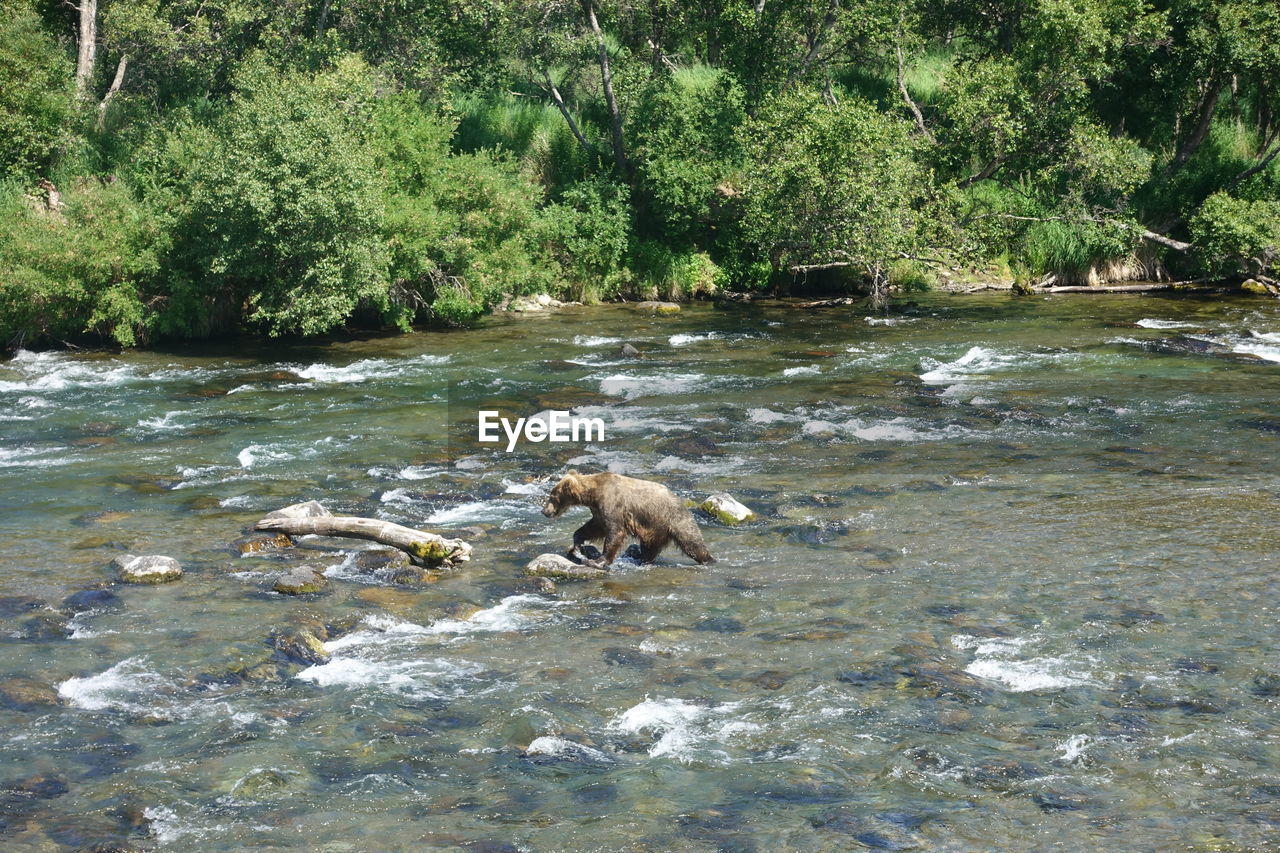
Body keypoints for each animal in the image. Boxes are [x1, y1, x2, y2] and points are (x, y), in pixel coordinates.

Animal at [540, 468, 716, 568]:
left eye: (552, 497)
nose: (544, 511)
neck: (593, 494)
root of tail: (681, 502)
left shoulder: (612, 503)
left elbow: (614, 531)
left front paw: (596, 561)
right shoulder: (597, 510)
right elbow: (593, 527)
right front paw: (576, 545)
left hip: (674, 519)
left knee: (692, 543)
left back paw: (709, 559)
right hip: (654, 528)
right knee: (649, 546)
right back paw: (641, 559)